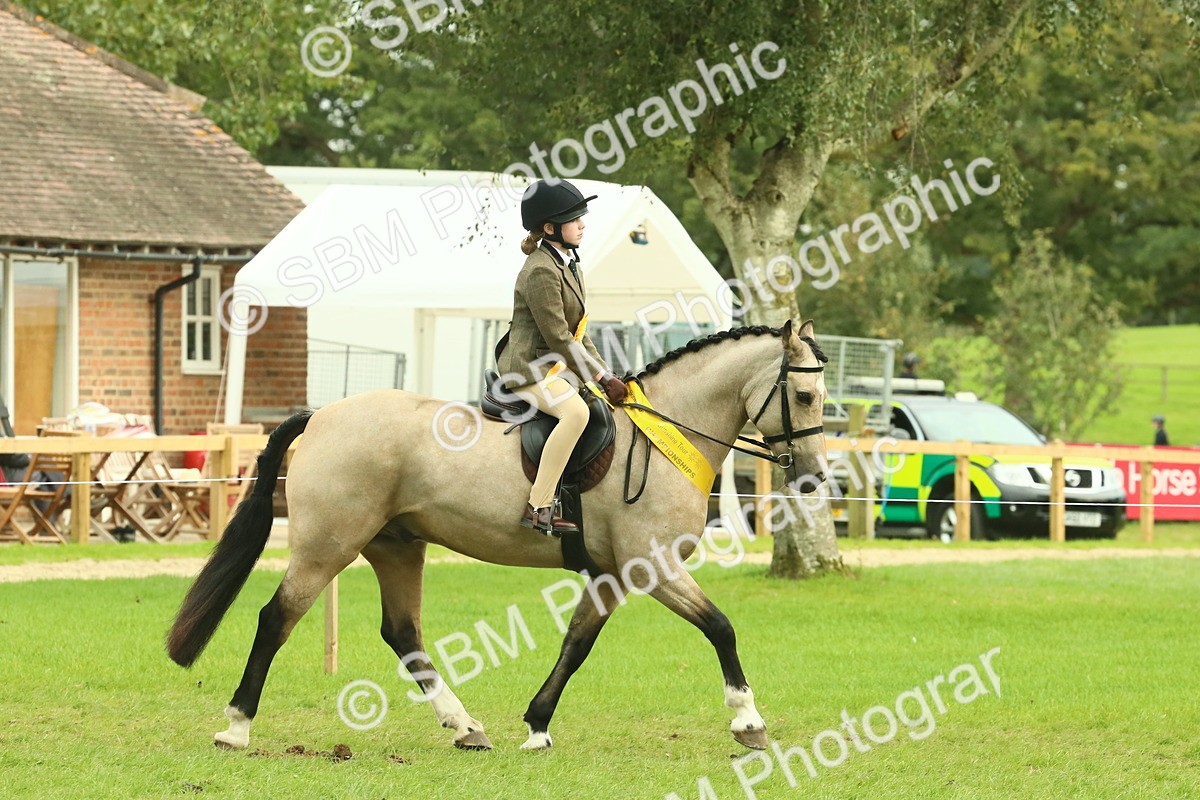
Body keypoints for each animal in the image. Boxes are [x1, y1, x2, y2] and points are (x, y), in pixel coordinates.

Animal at [166, 319, 829, 753]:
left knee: (402, 633)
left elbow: (576, 644)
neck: (665, 434)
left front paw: (537, 725)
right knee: (276, 619)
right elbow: (720, 627)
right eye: (803, 394)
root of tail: (323, 414)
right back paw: (236, 726)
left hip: (396, 546)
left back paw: (465, 727)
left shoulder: (612, 575)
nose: (814, 478)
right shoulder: (654, 566)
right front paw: (748, 722)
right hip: (328, 545)